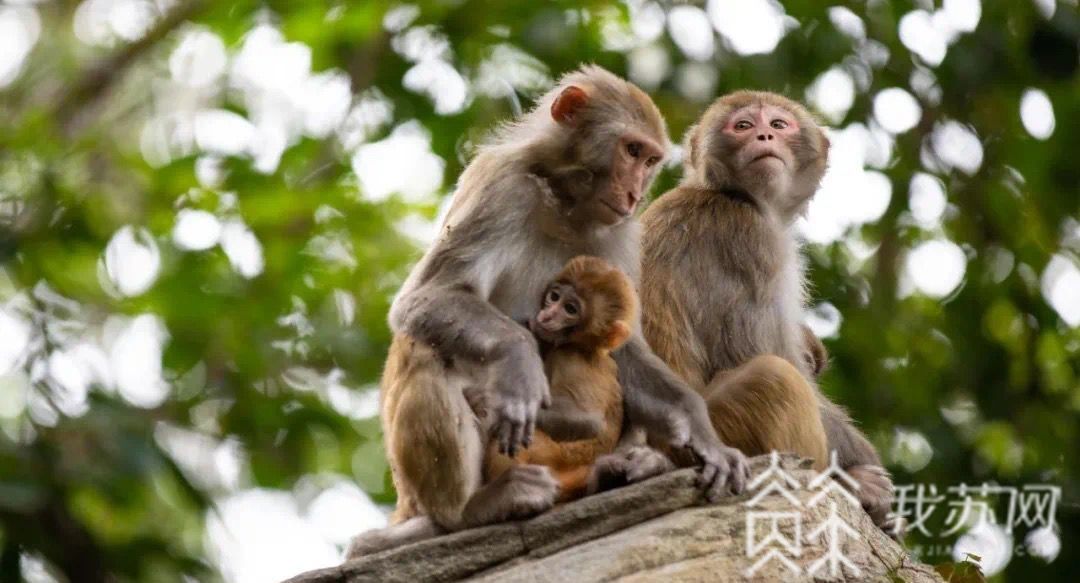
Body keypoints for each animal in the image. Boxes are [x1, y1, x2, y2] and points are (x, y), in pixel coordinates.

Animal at [468, 254, 635, 500]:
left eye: (570, 309)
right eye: (554, 297)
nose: (547, 316)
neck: (586, 348)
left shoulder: (569, 358)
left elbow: (588, 420)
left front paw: (492, 404)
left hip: (550, 457)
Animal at [639, 91, 894, 533]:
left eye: (778, 124)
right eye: (742, 126)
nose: (763, 135)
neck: (732, 195)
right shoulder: (749, 242)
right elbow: (765, 353)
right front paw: (861, 479)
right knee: (773, 378)